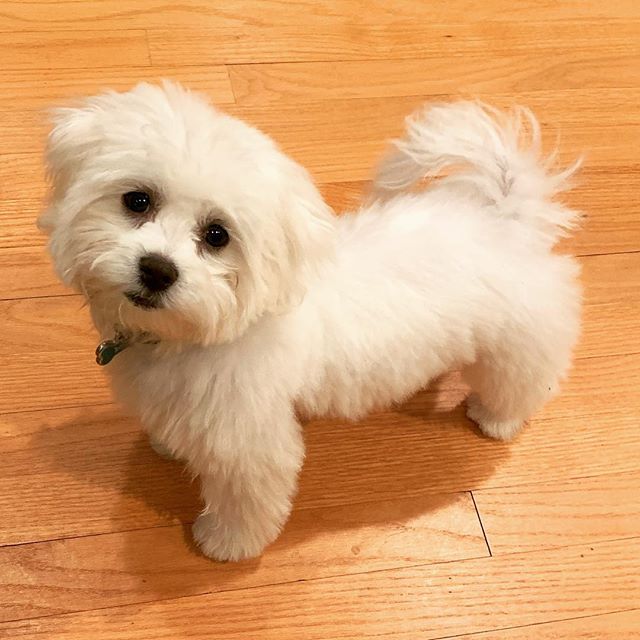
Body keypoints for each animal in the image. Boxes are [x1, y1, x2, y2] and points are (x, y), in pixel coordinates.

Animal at [38, 80, 580, 560]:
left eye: (217, 235)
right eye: (137, 200)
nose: (157, 269)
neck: (191, 338)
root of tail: (505, 219)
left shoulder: (249, 445)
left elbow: (246, 503)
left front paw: (224, 544)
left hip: (516, 344)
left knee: (521, 381)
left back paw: (495, 419)